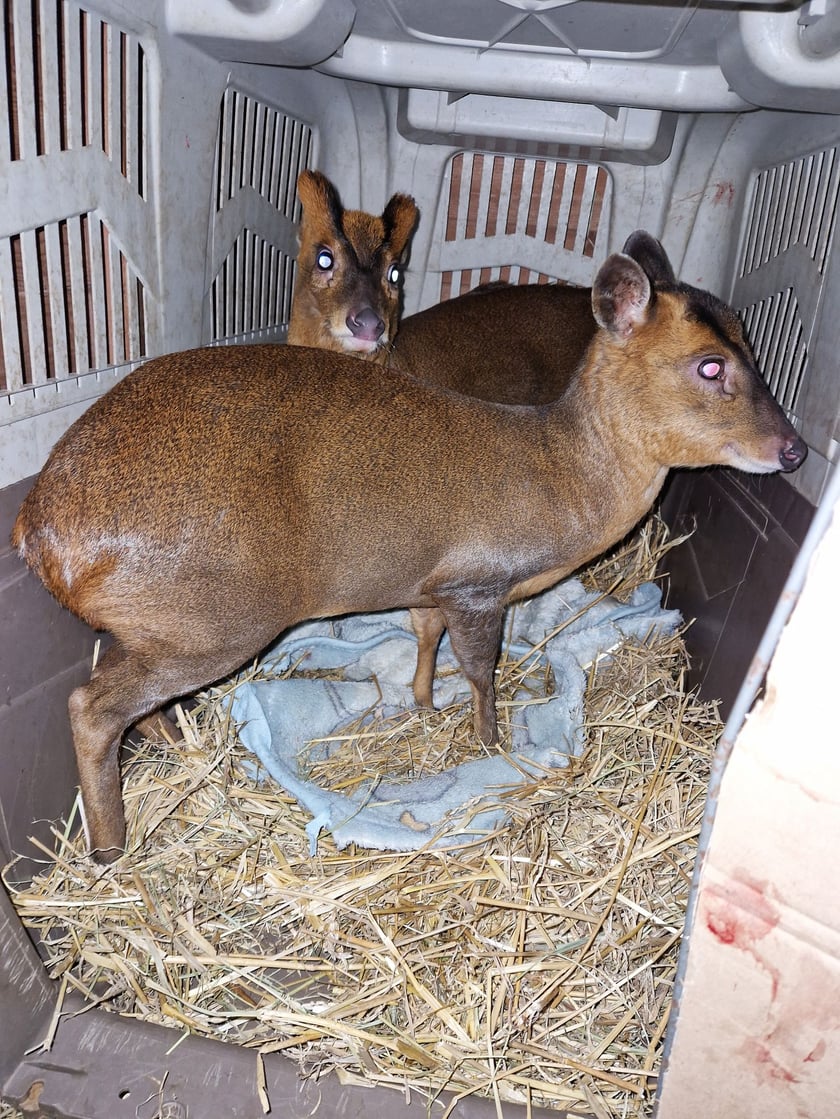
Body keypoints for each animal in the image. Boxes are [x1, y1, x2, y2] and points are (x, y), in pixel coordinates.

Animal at [13, 231, 805, 859]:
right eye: (710, 365)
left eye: (749, 342)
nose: (794, 449)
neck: (564, 475)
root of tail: (40, 531)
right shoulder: (480, 581)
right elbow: (481, 670)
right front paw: (489, 743)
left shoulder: (432, 584)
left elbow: (425, 638)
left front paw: (422, 703)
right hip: (214, 618)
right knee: (91, 706)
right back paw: (112, 850)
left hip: (151, 622)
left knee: (123, 689)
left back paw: (179, 751)